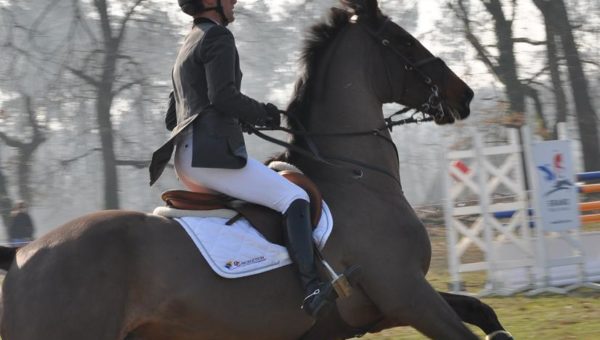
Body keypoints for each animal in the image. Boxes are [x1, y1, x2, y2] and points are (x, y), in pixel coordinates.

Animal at [1, 1, 516, 338]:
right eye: (402, 41)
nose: (464, 94)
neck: (357, 176)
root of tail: (23, 253)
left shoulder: (386, 306)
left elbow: (482, 312)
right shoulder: (406, 293)